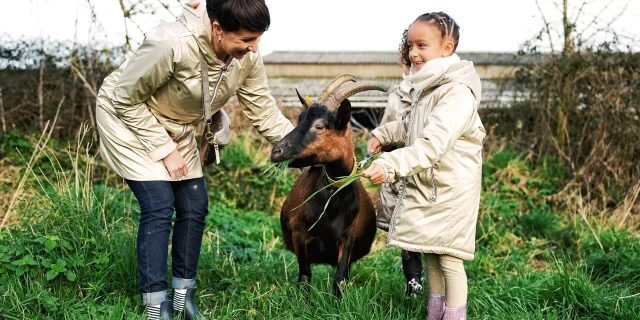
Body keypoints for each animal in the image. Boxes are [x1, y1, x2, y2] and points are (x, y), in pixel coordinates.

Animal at [268, 75, 388, 298]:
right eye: (300, 119)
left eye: (320, 126)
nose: (276, 152)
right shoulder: (299, 235)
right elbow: (305, 275)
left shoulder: (347, 238)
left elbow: (339, 278)